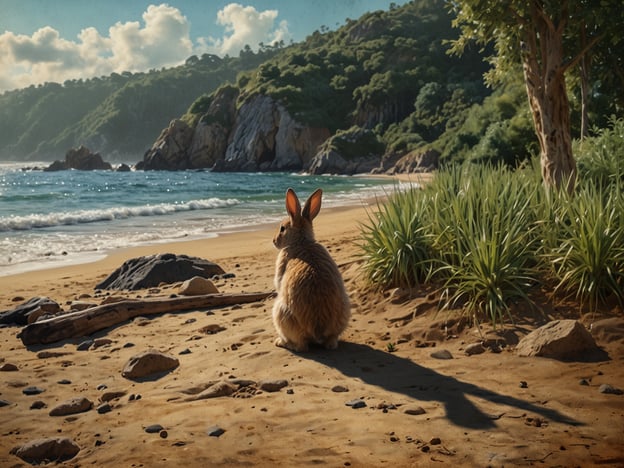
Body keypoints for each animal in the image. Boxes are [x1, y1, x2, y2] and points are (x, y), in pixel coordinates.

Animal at [272, 186, 354, 352]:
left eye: (282, 228)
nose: (274, 241)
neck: (301, 241)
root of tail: (318, 332)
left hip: (279, 312)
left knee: (300, 346)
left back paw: (280, 342)